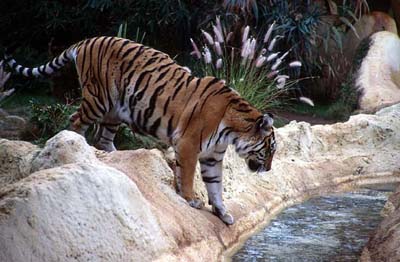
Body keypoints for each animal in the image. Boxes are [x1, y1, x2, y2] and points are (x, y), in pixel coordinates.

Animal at [3, 36, 276, 225]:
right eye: (270, 149)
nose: (269, 169)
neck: (232, 131)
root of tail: (89, 39)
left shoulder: (212, 156)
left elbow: (216, 186)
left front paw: (222, 213)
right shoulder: (188, 145)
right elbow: (189, 176)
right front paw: (191, 199)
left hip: (116, 111)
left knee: (103, 138)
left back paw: (113, 155)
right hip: (98, 100)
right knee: (76, 120)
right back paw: (81, 147)